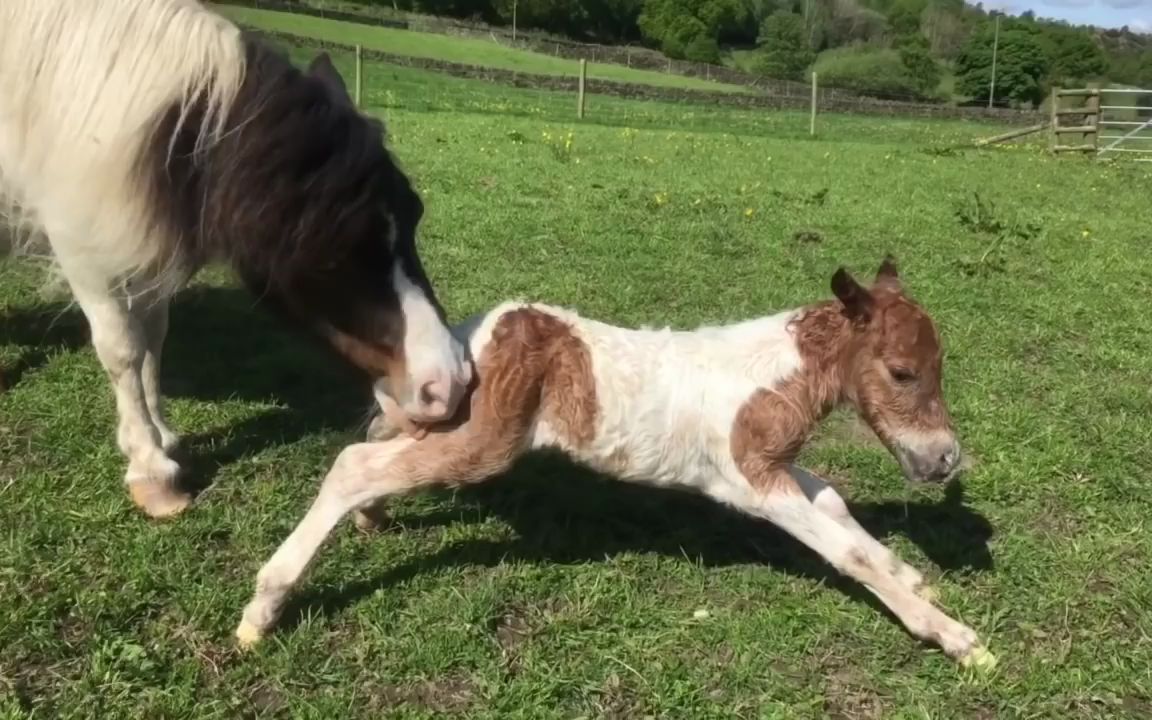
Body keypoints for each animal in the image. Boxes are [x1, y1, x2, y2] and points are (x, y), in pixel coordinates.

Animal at [0, 0, 470, 516]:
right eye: (331, 255)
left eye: (414, 216)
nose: (449, 383)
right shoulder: (83, 244)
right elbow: (123, 348)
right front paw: (151, 468)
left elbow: (153, 337)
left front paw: (161, 434)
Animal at [236, 258, 999, 668]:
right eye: (902, 373)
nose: (944, 459)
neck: (768, 378)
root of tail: (476, 335)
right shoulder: (753, 480)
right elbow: (848, 554)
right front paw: (955, 637)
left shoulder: (776, 465)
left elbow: (837, 504)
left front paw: (913, 576)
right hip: (484, 444)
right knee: (353, 462)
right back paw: (263, 609)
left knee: (379, 440)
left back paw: (368, 520)